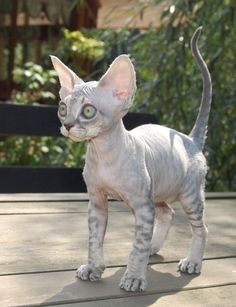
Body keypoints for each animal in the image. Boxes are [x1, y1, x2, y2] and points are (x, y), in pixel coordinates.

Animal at [50, 28, 211, 294]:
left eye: (88, 111)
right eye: (63, 108)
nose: (68, 125)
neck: (103, 155)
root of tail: (190, 139)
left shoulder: (143, 207)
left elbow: (137, 246)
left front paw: (134, 277)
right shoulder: (96, 202)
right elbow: (94, 240)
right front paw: (93, 268)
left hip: (189, 197)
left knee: (201, 228)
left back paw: (193, 262)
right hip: (158, 191)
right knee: (167, 213)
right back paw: (154, 247)